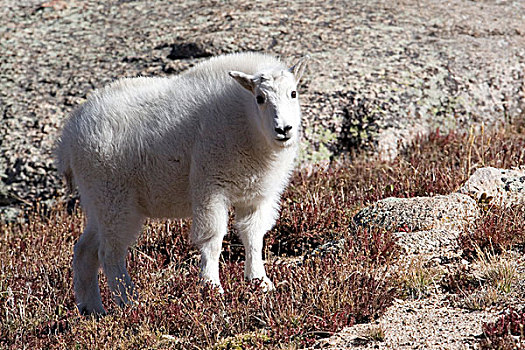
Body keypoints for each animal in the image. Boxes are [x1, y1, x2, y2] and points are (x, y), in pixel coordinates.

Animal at [54, 52, 308, 318]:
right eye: (260, 98)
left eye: (293, 93)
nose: (283, 129)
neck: (248, 121)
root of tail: (67, 141)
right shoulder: (210, 186)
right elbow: (212, 238)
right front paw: (211, 288)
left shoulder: (256, 195)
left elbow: (253, 236)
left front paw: (261, 282)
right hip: (114, 198)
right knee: (110, 253)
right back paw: (130, 301)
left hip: (97, 202)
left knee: (85, 250)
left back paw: (91, 309)